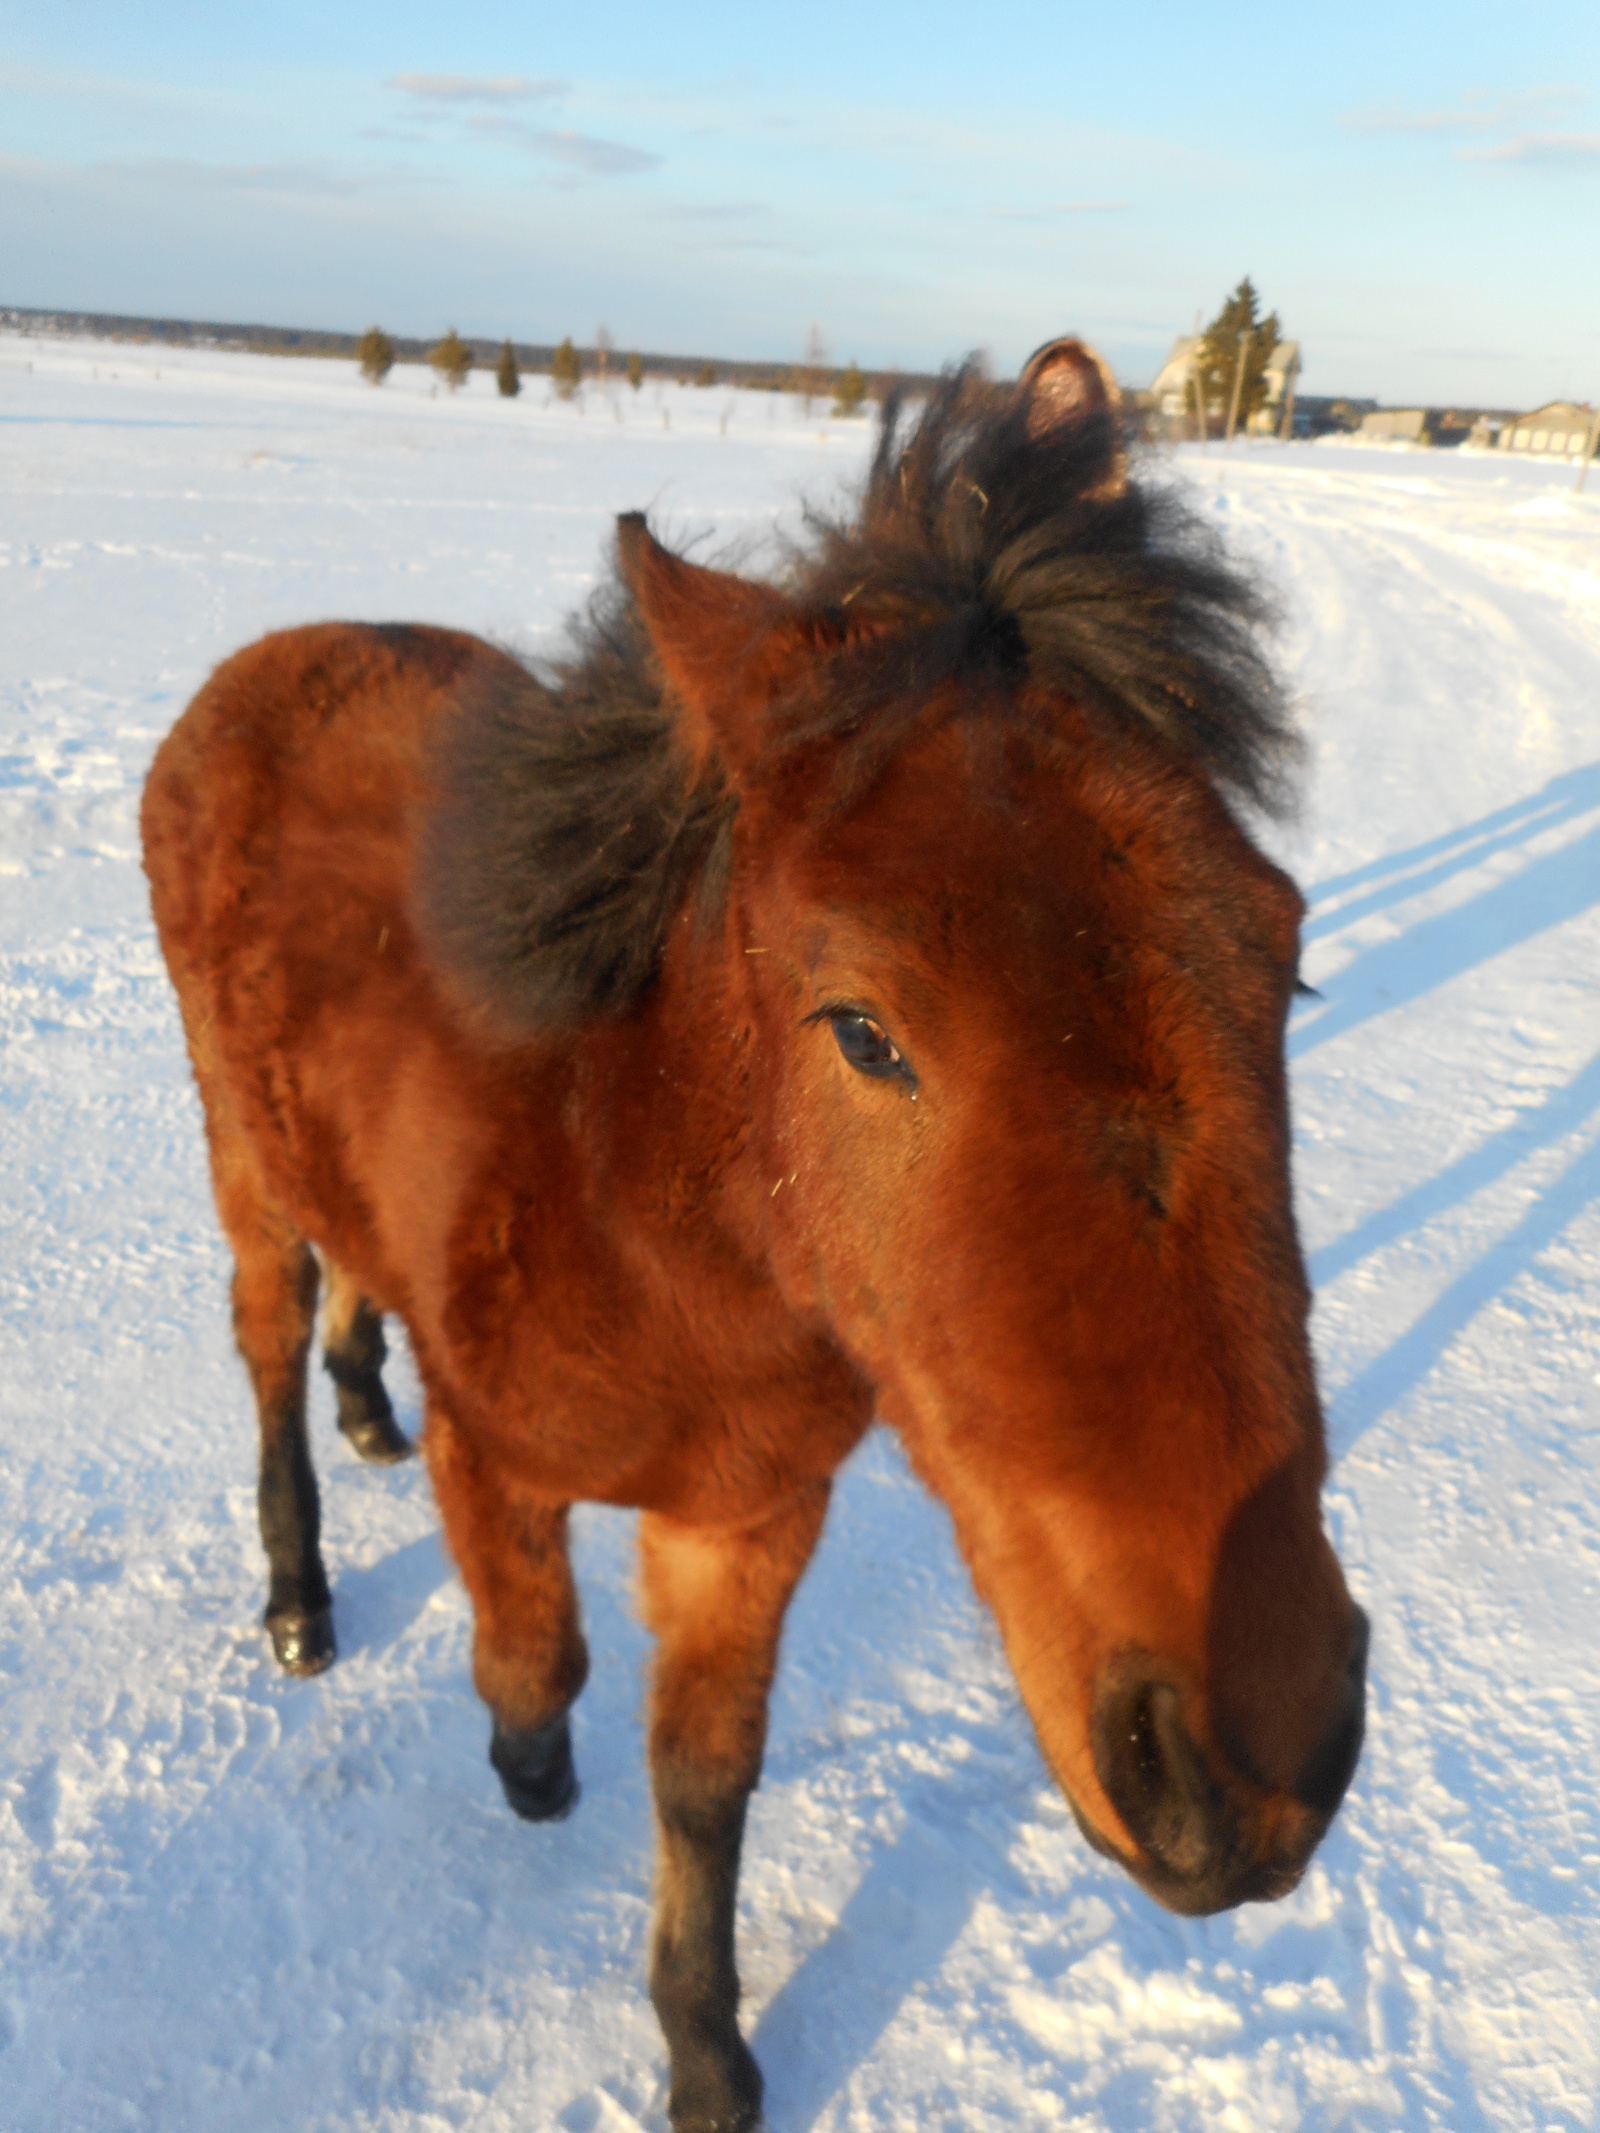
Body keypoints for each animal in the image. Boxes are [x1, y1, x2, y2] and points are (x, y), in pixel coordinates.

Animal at [140, 341, 1365, 2124]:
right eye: (861, 1030)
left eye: (1284, 952)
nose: (1254, 1765)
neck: (650, 1228)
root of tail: (261, 659)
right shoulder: (505, 1454)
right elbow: (541, 1670)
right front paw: (527, 1759)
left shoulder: (754, 1518)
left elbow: (706, 1778)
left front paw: (706, 2049)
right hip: (242, 1160)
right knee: (263, 1343)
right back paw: (300, 1590)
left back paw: (366, 1406)